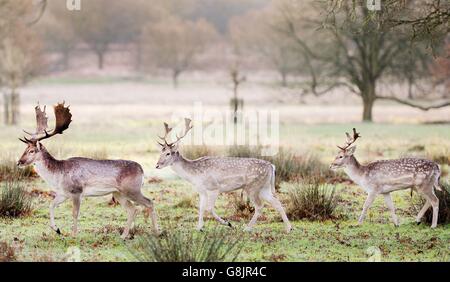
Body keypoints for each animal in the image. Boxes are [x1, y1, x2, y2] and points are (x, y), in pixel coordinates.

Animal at [18, 102, 160, 239]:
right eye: (25, 149)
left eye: (32, 151)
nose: (19, 162)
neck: (58, 175)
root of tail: (141, 169)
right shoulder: (63, 193)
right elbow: (51, 205)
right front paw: (57, 229)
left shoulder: (76, 191)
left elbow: (75, 213)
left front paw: (73, 234)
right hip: (119, 193)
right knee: (132, 209)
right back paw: (124, 235)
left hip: (132, 190)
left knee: (149, 202)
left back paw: (155, 232)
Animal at [156, 118, 294, 232]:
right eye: (160, 151)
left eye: (168, 153)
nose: (157, 165)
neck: (194, 175)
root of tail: (272, 166)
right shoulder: (201, 191)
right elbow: (201, 208)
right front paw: (199, 227)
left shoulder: (214, 188)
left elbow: (209, 208)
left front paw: (228, 223)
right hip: (264, 188)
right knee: (276, 202)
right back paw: (289, 228)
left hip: (253, 187)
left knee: (260, 206)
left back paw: (247, 228)